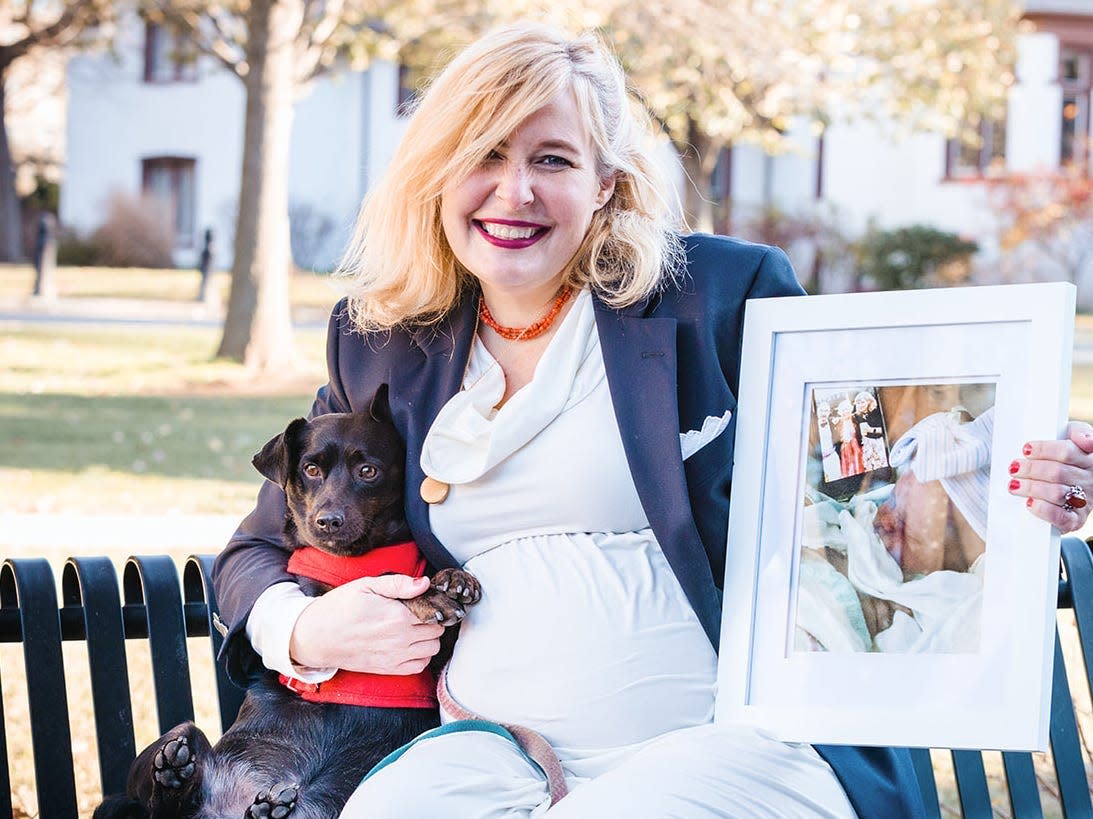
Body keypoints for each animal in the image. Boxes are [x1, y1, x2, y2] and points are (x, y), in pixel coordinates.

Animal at [96, 393, 480, 813]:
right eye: (310, 469)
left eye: (368, 471)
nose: (328, 521)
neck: (358, 555)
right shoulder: (320, 600)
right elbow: (378, 585)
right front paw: (425, 592)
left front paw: (452, 578)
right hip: (182, 736)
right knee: (162, 800)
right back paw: (173, 773)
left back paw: (265, 809)